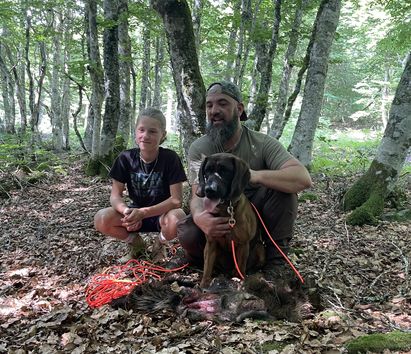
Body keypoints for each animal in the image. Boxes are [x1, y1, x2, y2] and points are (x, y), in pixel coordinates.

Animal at [197, 152, 268, 288]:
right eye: (207, 170)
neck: (226, 211)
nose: (209, 190)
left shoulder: (243, 244)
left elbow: (240, 266)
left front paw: (239, 280)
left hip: (260, 249)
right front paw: (204, 283)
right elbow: (207, 266)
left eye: (225, 171)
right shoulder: (211, 243)